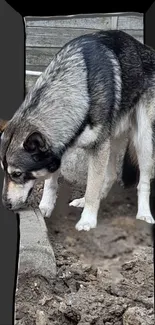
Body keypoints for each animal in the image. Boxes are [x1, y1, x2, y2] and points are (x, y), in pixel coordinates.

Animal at [0, 29, 155, 229]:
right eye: (4, 171)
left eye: (17, 174)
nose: (5, 205)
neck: (79, 89)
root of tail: (146, 49)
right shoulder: (60, 149)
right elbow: (51, 183)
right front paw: (45, 208)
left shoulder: (98, 147)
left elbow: (92, 187)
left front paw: (87, 220)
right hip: (111, 140)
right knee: (111, 175)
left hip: (142, 140)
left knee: (143, 180)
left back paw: (144, 214)